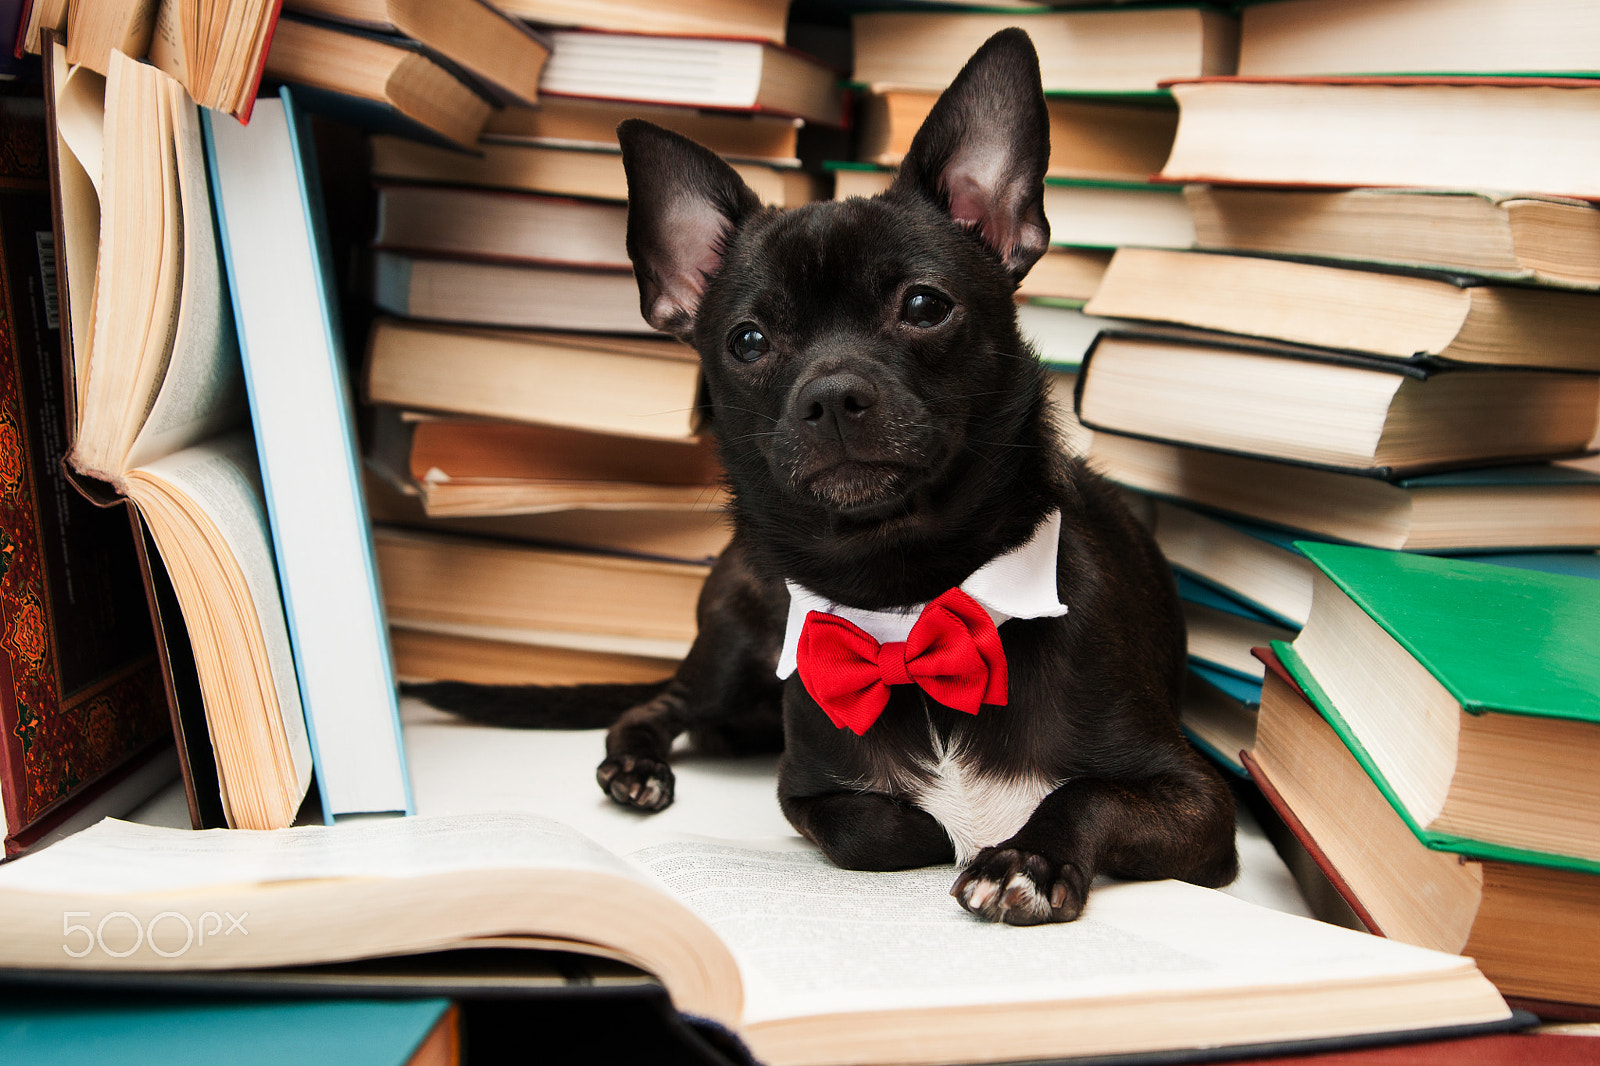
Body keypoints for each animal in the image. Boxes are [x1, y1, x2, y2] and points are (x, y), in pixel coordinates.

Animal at [412, 29, 1235, 915]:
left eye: (924, 306)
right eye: (746, 341)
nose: (833, 395)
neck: (908, 601)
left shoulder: (1201, 802)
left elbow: (1078, 793)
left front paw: (1027, 859)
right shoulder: (805, 791)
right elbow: (888, 825)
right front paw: (955, 832)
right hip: (736, 644)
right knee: (659, 703)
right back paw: (636, 765)